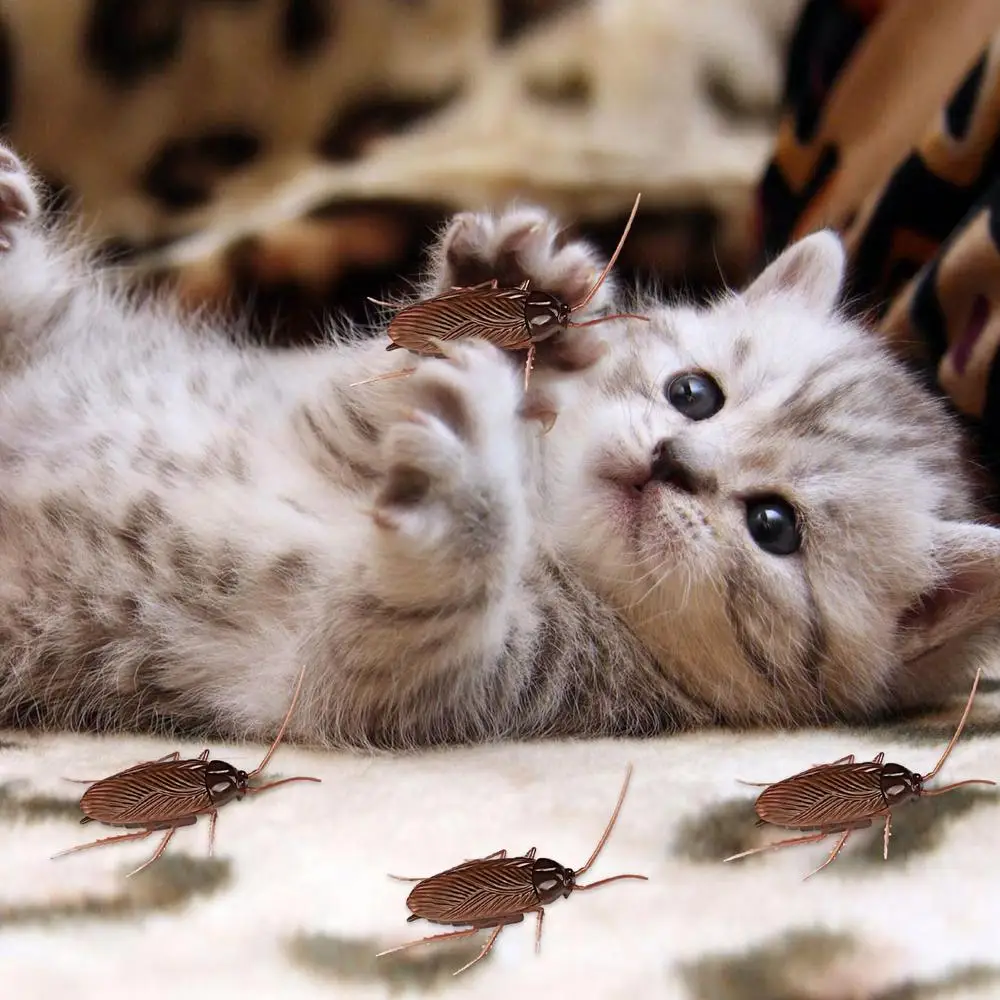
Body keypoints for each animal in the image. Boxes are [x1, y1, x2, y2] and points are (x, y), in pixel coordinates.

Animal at [0, 139, 997, 750]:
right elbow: (366, 387)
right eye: (694, 393)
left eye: (774, 525)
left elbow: (405, 618)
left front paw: (469, 498)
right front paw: (505, 300)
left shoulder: (384, 681)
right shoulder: (296, 401)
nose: (672, 462)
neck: (549, 519)